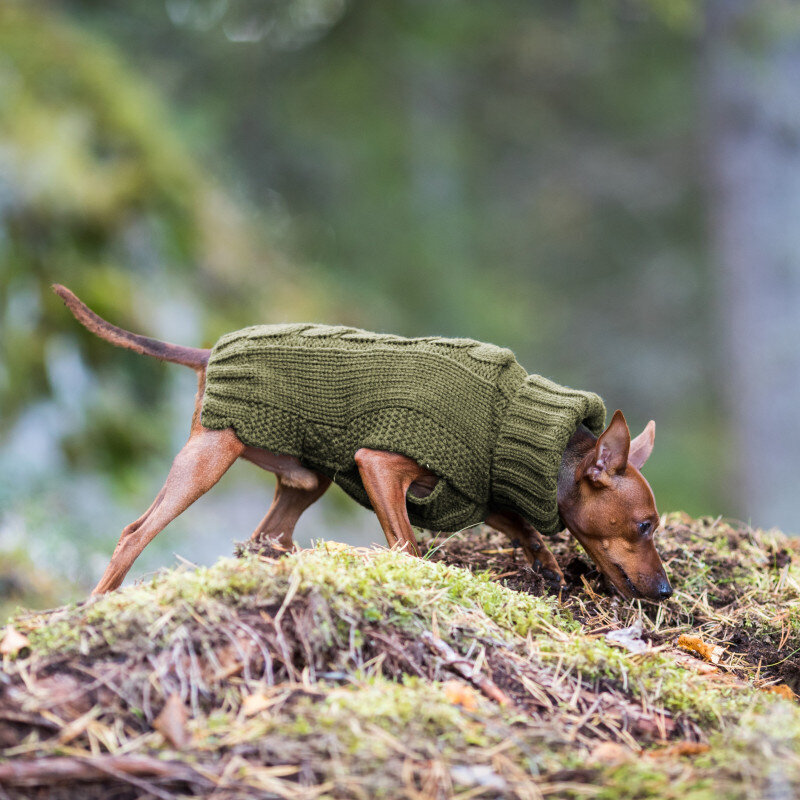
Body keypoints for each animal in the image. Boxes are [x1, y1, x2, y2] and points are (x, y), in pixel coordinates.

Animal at [53, 284, 672, 604]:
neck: (517, 425)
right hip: (210, 457)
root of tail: (211, 352)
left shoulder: (479, 487)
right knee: (135, 534)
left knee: (266, 538)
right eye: (644, 526)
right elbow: (408, 545)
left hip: (305, 476)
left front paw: (544, 564)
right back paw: (95, 602)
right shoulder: (379, 465)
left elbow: (520, 526)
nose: (666, 590)